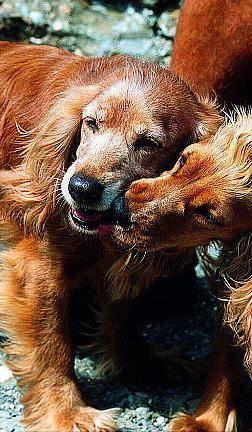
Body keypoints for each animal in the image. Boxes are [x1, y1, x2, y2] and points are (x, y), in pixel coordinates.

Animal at [0, 43, 221, 432]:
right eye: (91, 123)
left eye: (148, 143)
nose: (81, 187)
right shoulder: (35, 272)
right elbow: (52, 347)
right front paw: (66, 412)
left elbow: (124, 314)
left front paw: (140, 364)